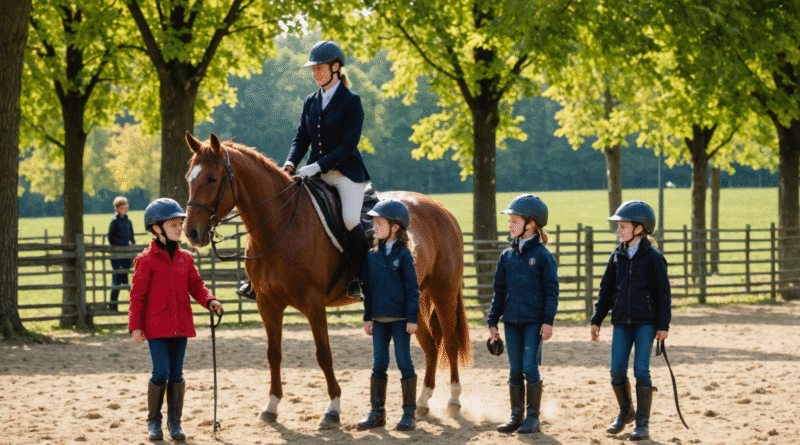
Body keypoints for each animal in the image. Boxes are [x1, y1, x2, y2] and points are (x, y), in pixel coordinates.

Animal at [182, 132, 472, 429]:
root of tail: (440, 208)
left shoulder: (313, 302)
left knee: (450, 341)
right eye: (189, 178)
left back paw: (453, 401)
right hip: (414, 298)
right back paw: (423, 402)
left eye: (212, 179)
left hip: (443, 291)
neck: (280, 223)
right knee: (431, 345)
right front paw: (271, 406)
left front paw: (332, 409)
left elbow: (324, 353)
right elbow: (274, 354)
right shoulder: (267, 303)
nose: (191, 232)